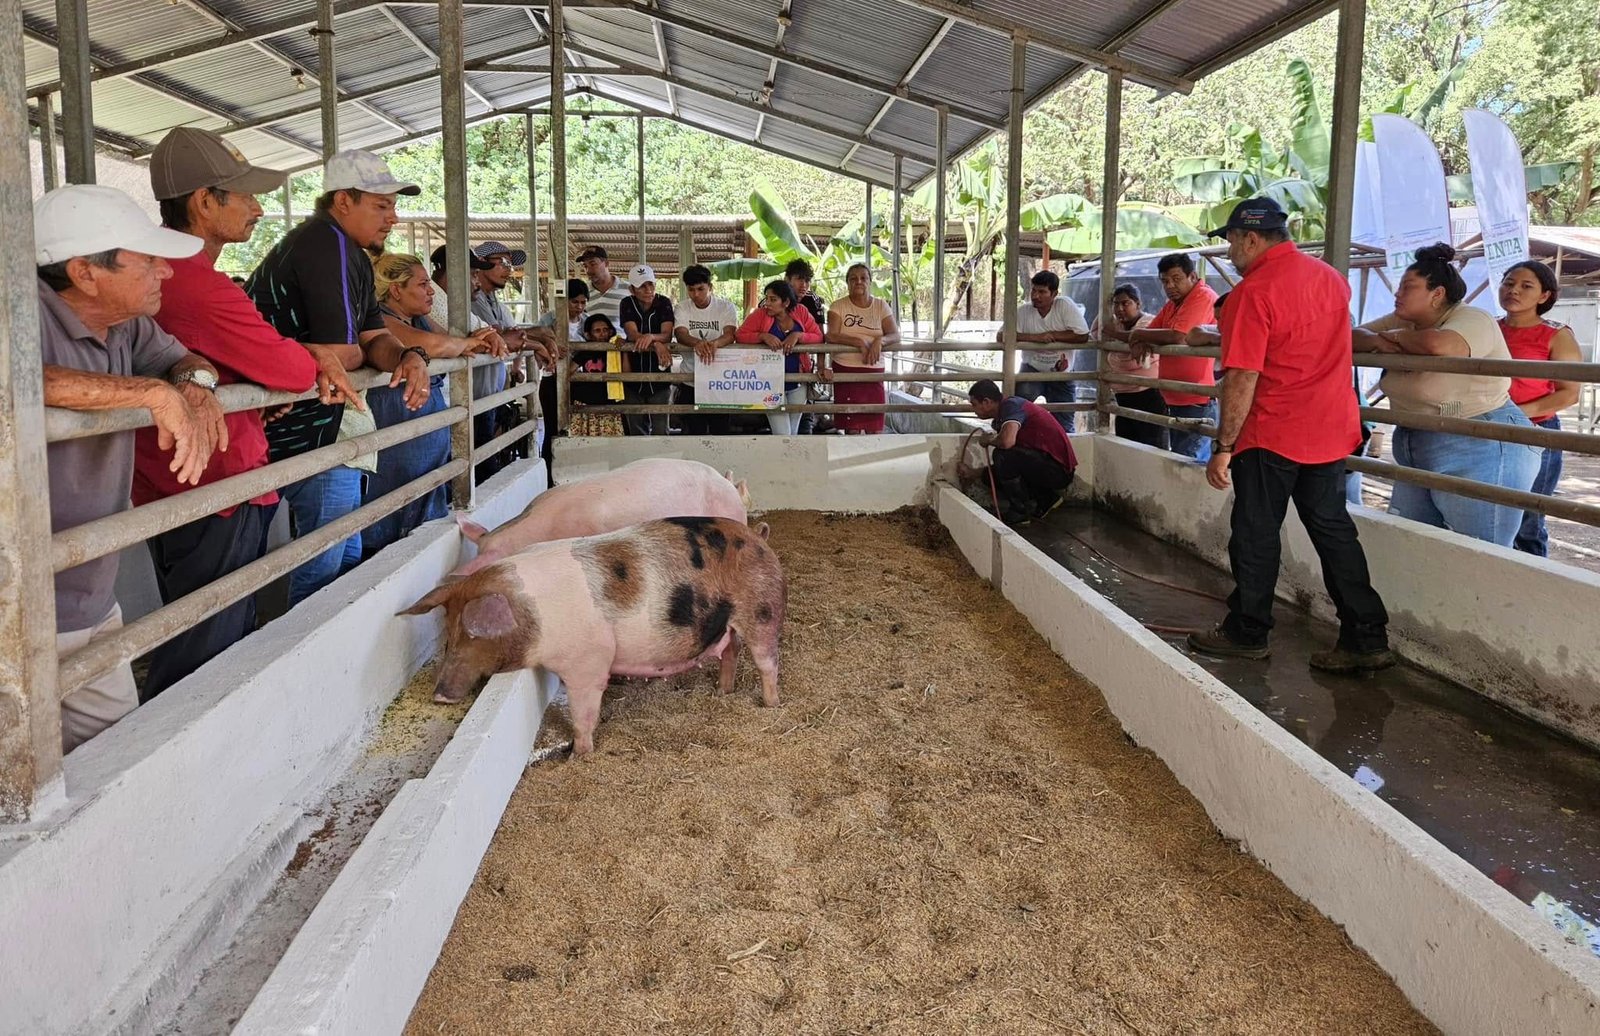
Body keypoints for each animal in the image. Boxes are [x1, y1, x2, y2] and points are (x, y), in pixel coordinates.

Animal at [400, 516, 786, 757]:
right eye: (448, 638)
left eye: (470, 637)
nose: (439, 696)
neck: (535, 616)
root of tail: (759, 538)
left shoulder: (587, 661)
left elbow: (583, 713)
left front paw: (579, 754)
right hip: (729, 626)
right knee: (731, 652)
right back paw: (723, 692)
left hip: (763, 611)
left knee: (767, 662)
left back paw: (770, 705)